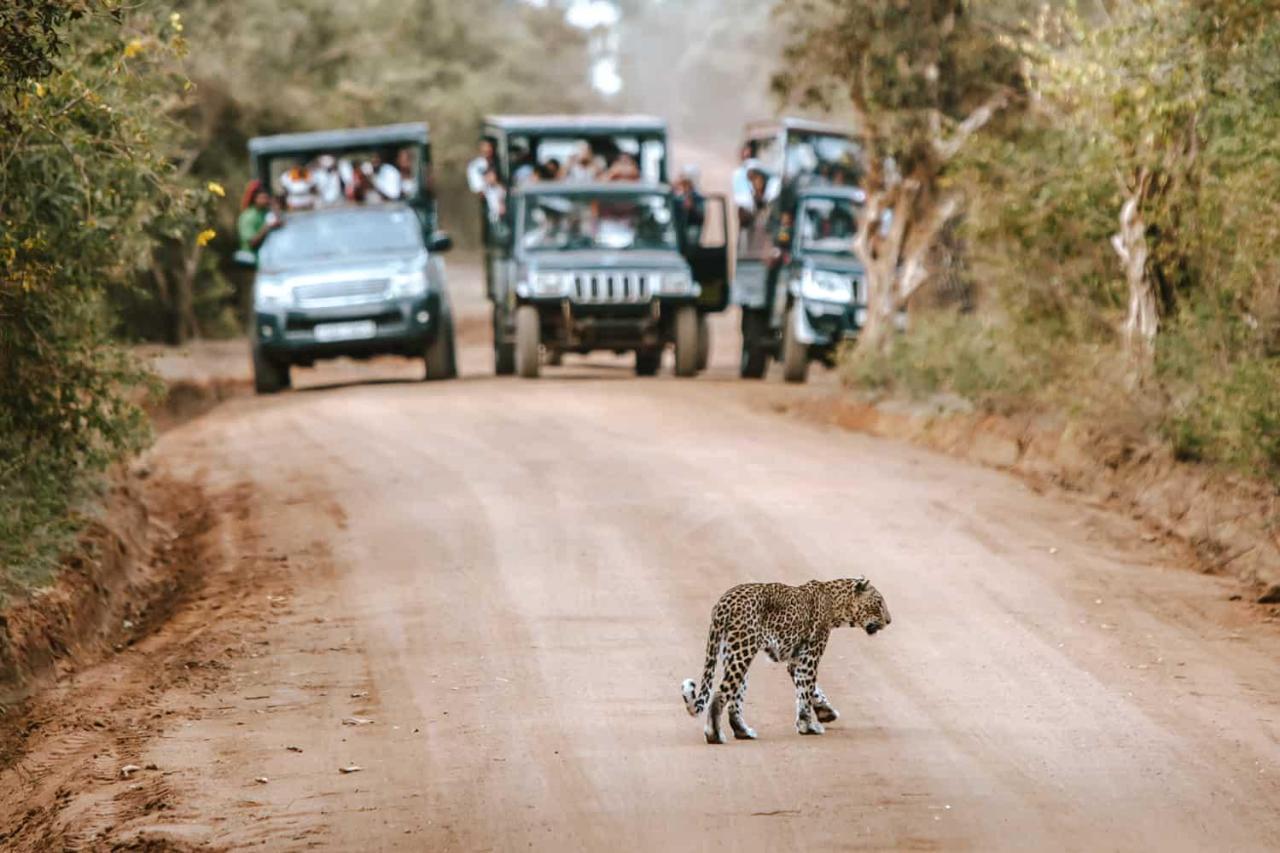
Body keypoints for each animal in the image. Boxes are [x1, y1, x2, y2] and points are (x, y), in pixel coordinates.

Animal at [680, 573, 890, 742]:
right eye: (879, 602)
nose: (889, 620)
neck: (835, 603)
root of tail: (723, 602)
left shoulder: (796, 660)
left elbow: (811, 689)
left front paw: (825, 712)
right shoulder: (811, 654)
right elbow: (806, 690)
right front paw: (808, 726)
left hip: (732, 652)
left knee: (735, 697)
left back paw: (743, 732)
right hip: (742, 650)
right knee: (720, 693)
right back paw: (714, 735)